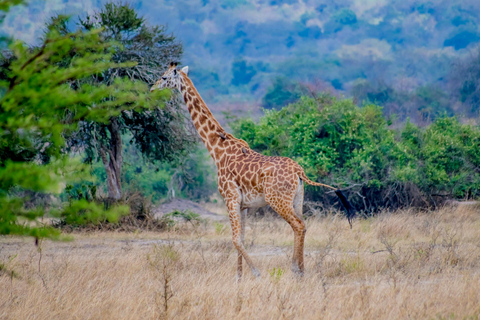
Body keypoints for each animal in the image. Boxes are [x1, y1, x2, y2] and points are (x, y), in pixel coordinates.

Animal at [152, 62, 354, 278]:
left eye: (164, 78)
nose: (152, 89)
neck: (217, 149)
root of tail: (299, 172)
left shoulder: (230, 198)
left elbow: (235, 240)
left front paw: (257, 273)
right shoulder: (243, 205)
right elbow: (241, 238)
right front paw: (239, 277)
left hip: (278, 200)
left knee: (298, 226)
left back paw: (295, 270)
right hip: (298, 198)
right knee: (303, 225)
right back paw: (301, 270)